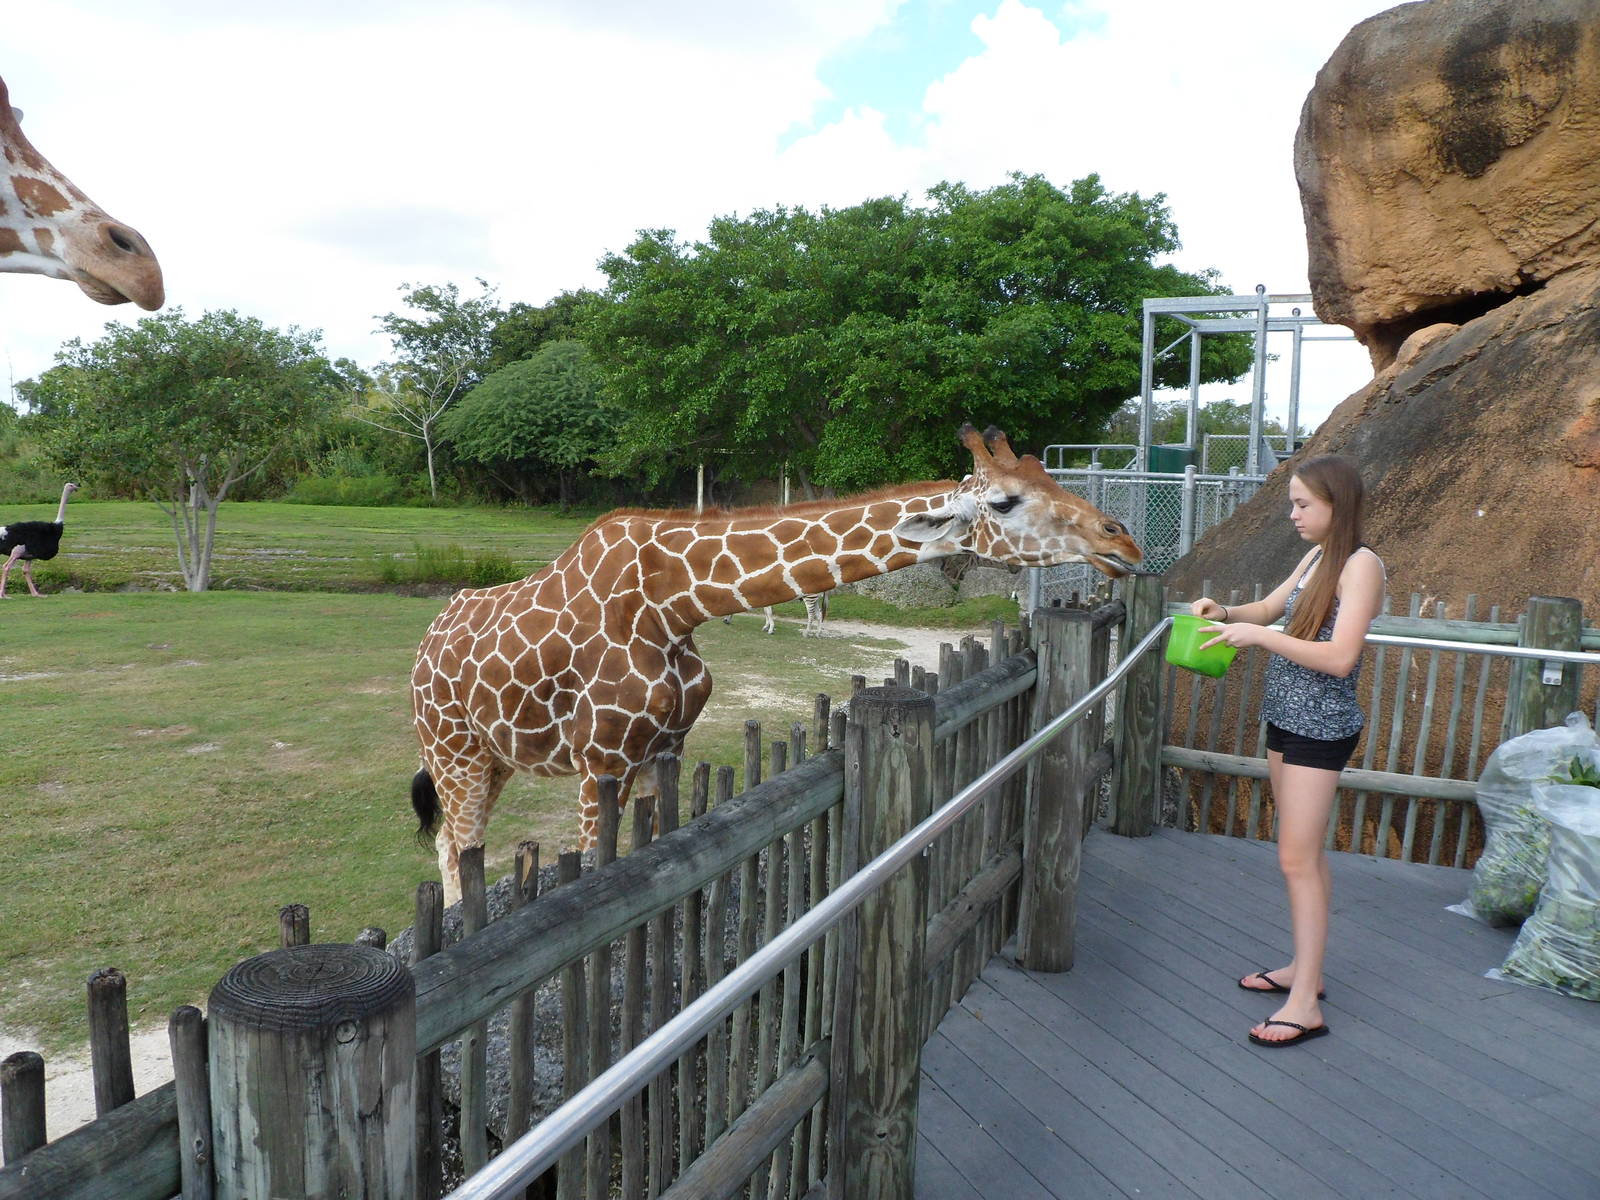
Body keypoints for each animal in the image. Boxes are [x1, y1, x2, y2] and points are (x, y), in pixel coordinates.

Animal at [410, 424, 1143, 901]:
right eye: (1003, 502)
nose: (1125, 543)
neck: (672, 605)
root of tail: (425, 644)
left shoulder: (664, 747)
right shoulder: (601, 759)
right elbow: (593, 866)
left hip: (496, 756)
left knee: (454, 844)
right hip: (454, 751)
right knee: (456, 847)